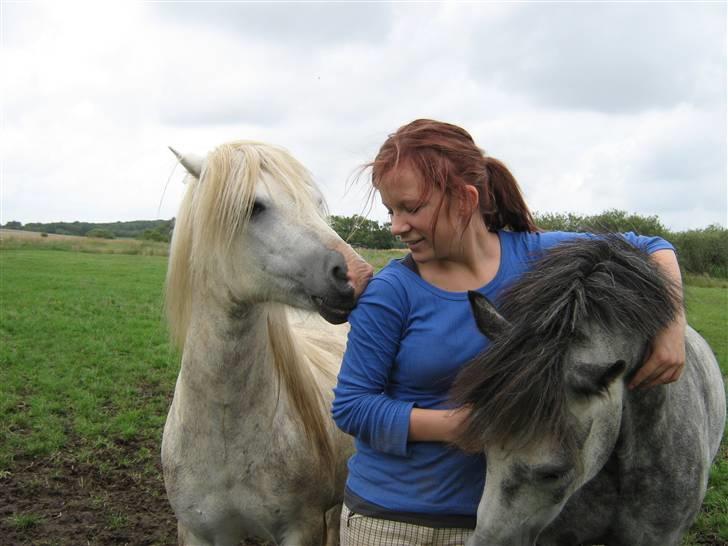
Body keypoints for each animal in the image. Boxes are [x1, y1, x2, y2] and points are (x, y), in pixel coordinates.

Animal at [162, 141, 372, 544]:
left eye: (314, 202)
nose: (358, 275)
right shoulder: (201, 531)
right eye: (254, 207)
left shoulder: (301, 528)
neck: (225, 430)